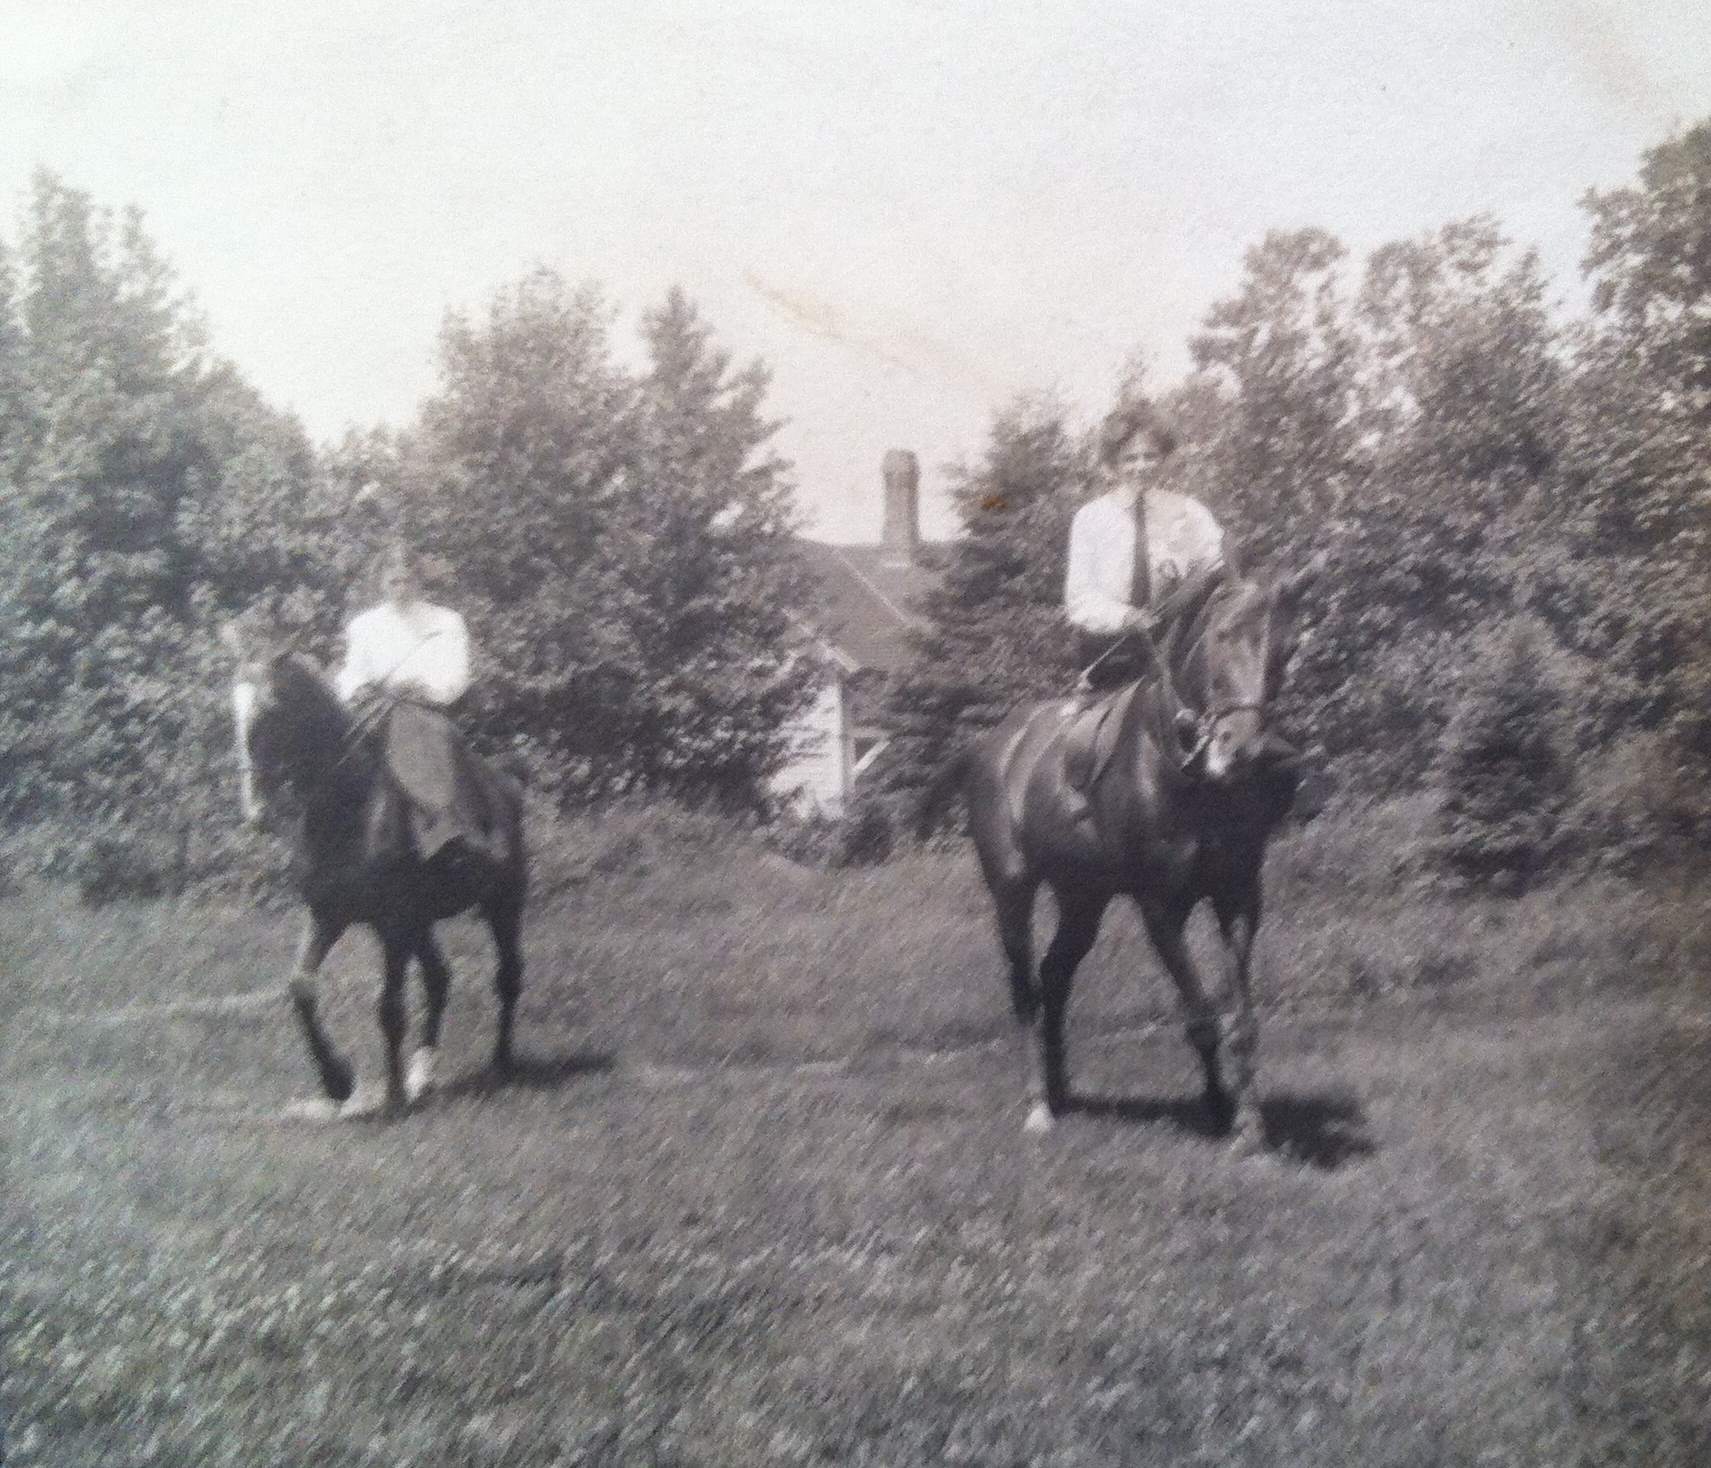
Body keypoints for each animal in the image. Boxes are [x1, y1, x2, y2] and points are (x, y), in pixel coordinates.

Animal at [224, 622, 523, 1115]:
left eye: (271, 711)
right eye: (233, 710)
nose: (256, 810)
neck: (352, 807)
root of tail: (506, 787)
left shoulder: (393, 923)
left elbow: (389, 1008)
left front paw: (393, 1095)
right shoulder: (329, 915)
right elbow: (300, 987)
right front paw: (338, 1081)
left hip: (504, 901)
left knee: (509, 977)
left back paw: (500, 1064)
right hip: (423, 923)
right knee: (440, 979)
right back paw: (424, 1076)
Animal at [923, 561, 1307, 1142]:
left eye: (1284, 648)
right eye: (1221, 636)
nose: (1243, 750)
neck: (1188, 776)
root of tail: (989, 747)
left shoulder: (1239, 896)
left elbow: (1239, 1017)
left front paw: (1248, 1123)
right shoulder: (1160, 906)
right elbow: (1199, 1013)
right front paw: (1219, 1109)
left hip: (1083, 898)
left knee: (1055, 974)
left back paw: (1062, 1089)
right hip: (1012, 892)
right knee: (1025, 990)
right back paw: (1038, 1105)